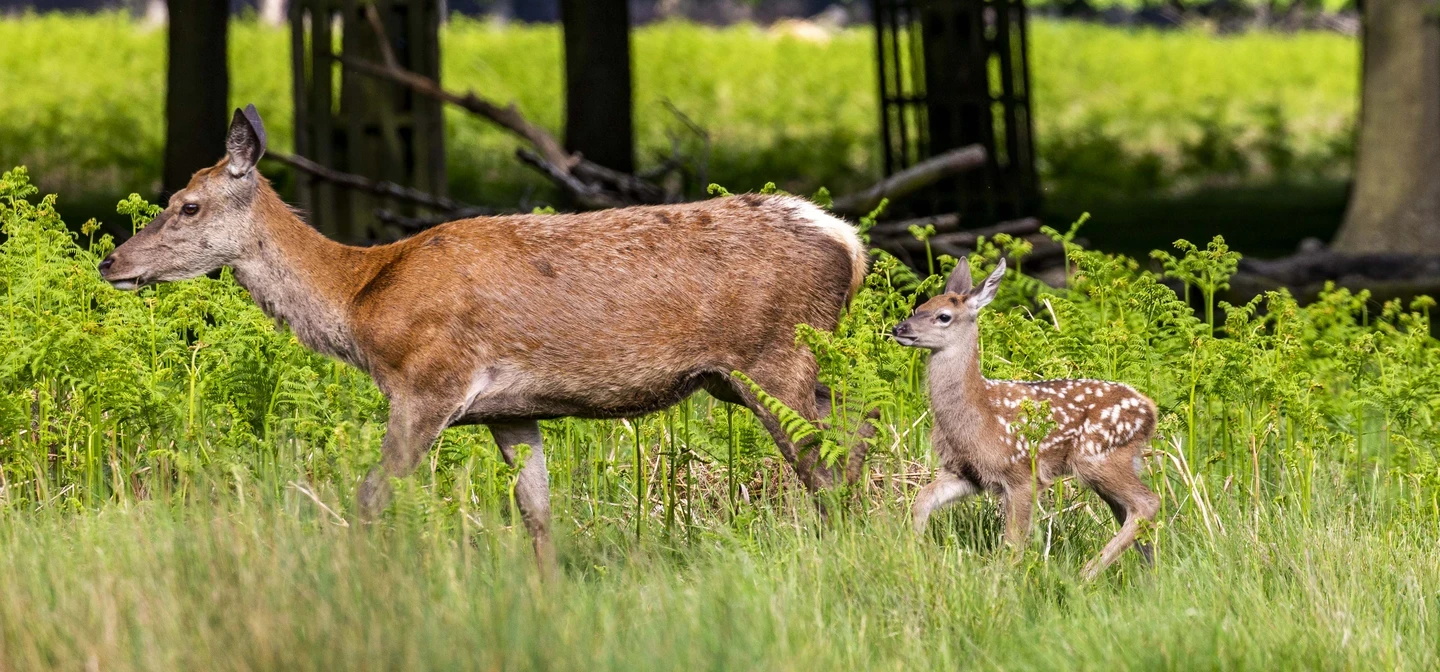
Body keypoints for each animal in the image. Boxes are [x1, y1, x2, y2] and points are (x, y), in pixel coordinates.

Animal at [98, 105, 874, 570]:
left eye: (187, 204)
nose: (112, 262)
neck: (361, 300)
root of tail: (850, 242)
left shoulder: (428, 382)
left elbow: (371, 495)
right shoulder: (509, 411)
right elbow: (537, 511)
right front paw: (547, 593)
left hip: (773, 354)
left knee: (825, 457)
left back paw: (846, 551)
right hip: (755, 372)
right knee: (856, 426)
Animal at [891, 257, 1160, 580]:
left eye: (943, 316)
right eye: (920, 307)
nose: (898, 328)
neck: (978, 412)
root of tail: (1149, 410)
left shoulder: (1021, 472)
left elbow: (1012, 543)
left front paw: (1002, 580)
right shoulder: (968, 472)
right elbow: (923, 499)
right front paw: (915, 551)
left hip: (1097, 456)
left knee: (1147, 503)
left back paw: (1087, 574)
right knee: (1131, 512)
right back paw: (1149, 578)